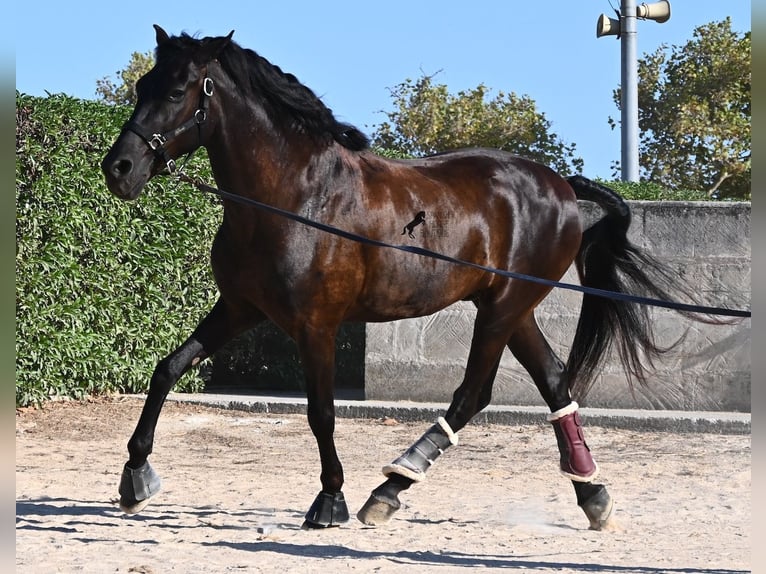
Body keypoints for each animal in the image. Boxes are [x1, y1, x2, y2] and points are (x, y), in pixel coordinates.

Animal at [102, 25, 705, 530]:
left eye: (178, 90)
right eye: (142, 84)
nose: (119, 169)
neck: (294, 196)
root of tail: (560, 185)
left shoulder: (316, 326)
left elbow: (321, 412)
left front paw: (330, 501)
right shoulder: (239, 308)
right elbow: (167, 368)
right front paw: (135, 478)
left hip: (504, 307)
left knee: (473, 393)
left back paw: (389, 489)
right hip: (510, 308)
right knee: (554, 381)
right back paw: (592, 494)